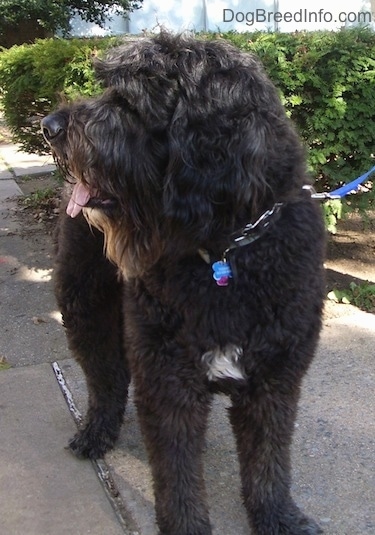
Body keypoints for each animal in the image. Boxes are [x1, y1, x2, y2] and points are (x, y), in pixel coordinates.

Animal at [41, 33, 326, 535]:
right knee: (106, 378)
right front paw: (187, 524)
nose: (48, 125)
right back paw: (95, 431)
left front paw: (277, 517)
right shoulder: (168, 377)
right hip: (85, 307)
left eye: (128, 101)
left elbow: (268, 462)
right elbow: (177, 474)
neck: (225, 252)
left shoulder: (275, 381)